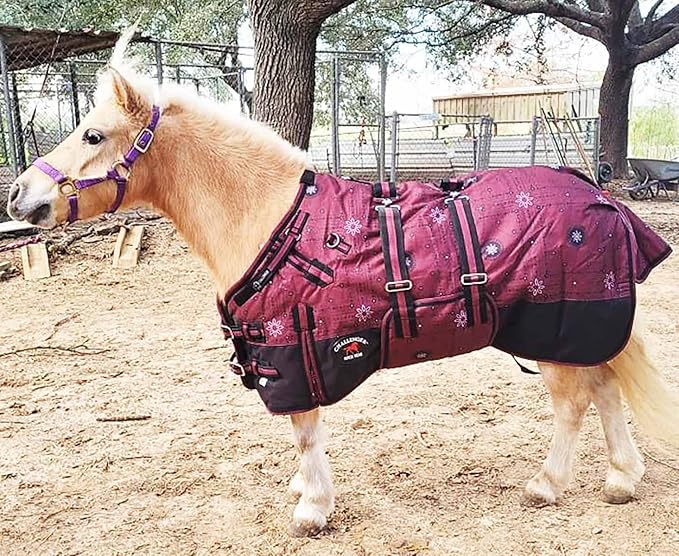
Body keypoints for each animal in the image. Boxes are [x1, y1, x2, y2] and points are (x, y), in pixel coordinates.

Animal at [7, 37, 678, 537]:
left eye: (93, 135)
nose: (18, 196)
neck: (270, 216)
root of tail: (600, 198)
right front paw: (306, 492)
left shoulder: (292, 356)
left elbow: (304, 432)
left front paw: (311, 508)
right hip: (579, 332)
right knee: (606, 388)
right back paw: (622, 479)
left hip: (553, 331)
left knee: (574, 403)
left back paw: (548, 484)